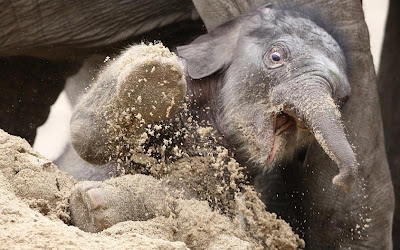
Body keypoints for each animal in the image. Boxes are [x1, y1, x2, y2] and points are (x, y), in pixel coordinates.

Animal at [68, 4, 356, 244]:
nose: (341, 180)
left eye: (341, 98)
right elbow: (83, 136)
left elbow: (195, 193)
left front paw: (91, 204)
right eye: (276, 57)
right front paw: (153, 80)